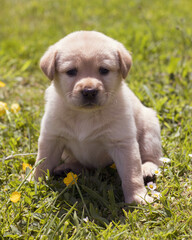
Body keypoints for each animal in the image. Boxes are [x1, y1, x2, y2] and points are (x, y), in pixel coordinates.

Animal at [33, 30, 161, 204]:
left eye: (104, 70)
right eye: (71, 71)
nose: (89, 91)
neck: (85, 114)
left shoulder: (122, 143)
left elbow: (131, 174)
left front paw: (137, 197)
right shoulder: (51, 138)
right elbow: (42, 163)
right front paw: (34, 183)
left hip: (150, 128)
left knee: (152, 156)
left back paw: (147, 168)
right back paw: (67, 168)